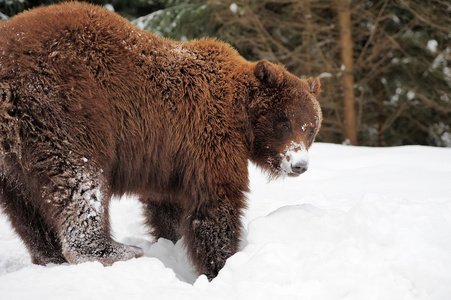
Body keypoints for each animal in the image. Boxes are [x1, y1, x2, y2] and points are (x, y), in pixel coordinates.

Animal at [1, 2, 324, 280]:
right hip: (65, 107)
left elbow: (167, 206)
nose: (299, 165)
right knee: (80, 180)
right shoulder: (209, 137)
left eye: (311, 128)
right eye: (284, 123)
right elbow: (215, 203)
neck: (239, 114)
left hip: (14, 155)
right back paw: (114, 250)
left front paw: (175, 241)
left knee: (24, 208)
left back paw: (50, 256)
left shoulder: (168, 155)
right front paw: (222, 263)